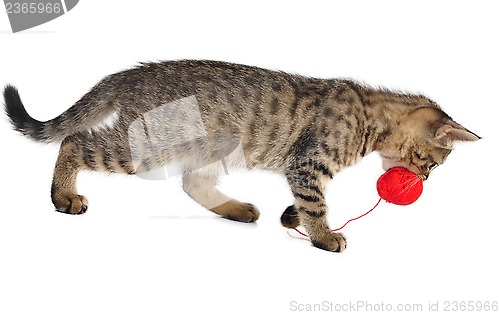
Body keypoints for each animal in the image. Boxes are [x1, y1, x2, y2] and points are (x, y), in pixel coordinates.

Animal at [4, 59, 480, 252]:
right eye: (431, 164)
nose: (427, 180)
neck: (369, 112)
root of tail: (129, 74)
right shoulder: (307, 164)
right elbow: (317, 204)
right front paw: (325, 236)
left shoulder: (300, 170)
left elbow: (304, 204)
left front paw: (292, 218)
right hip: (147, 145)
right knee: (73, 142)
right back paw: (63, 195)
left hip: (206, 147)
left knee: (192, 182)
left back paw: (237, 210)